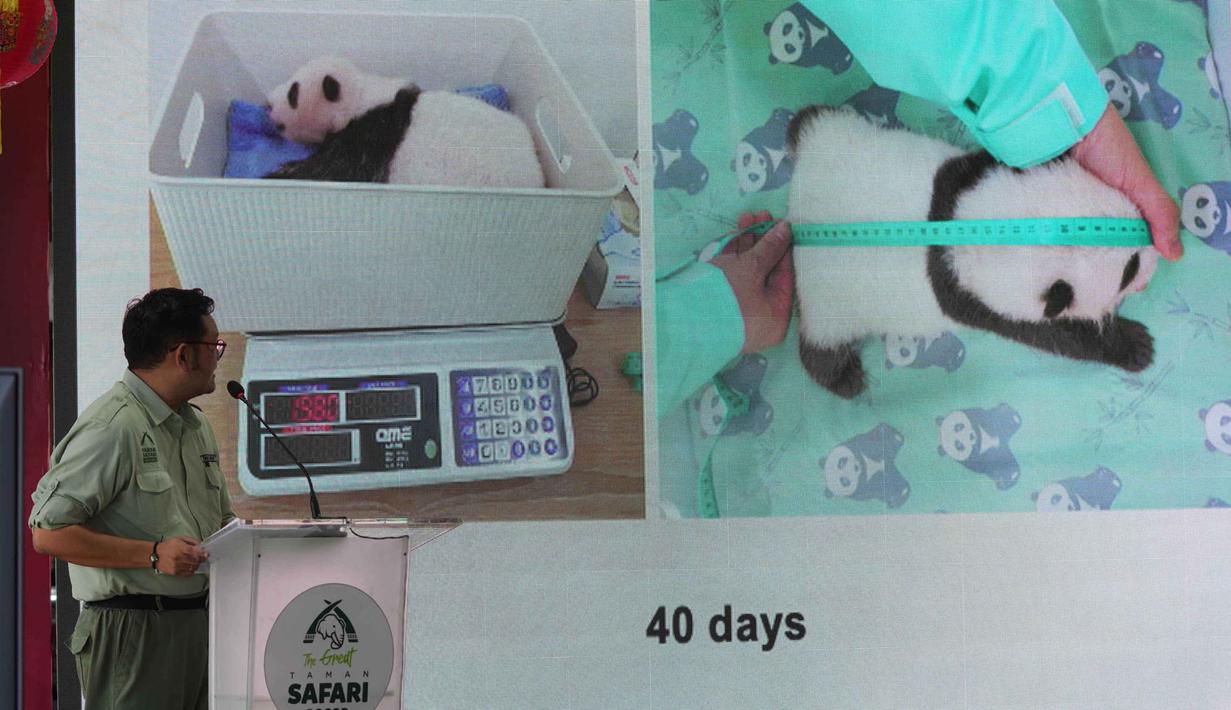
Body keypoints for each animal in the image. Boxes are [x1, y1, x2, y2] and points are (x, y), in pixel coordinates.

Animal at [263, 56, 544, 188]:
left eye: (293, 93)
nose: (268, 104)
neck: (361, 96)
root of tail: (538, 178)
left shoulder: (371, 136)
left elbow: (334, 171)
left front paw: (277, 173)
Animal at [786, 108, 1158, 399]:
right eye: (1129, 268)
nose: (1154, 255)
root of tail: (796, 216)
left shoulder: (969, 172)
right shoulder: (979, 302)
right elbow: (1057, 335)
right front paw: (1136, 346)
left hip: (838, 140)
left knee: (817, 120)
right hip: (832, 303)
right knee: (822, 341)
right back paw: (841, 376)